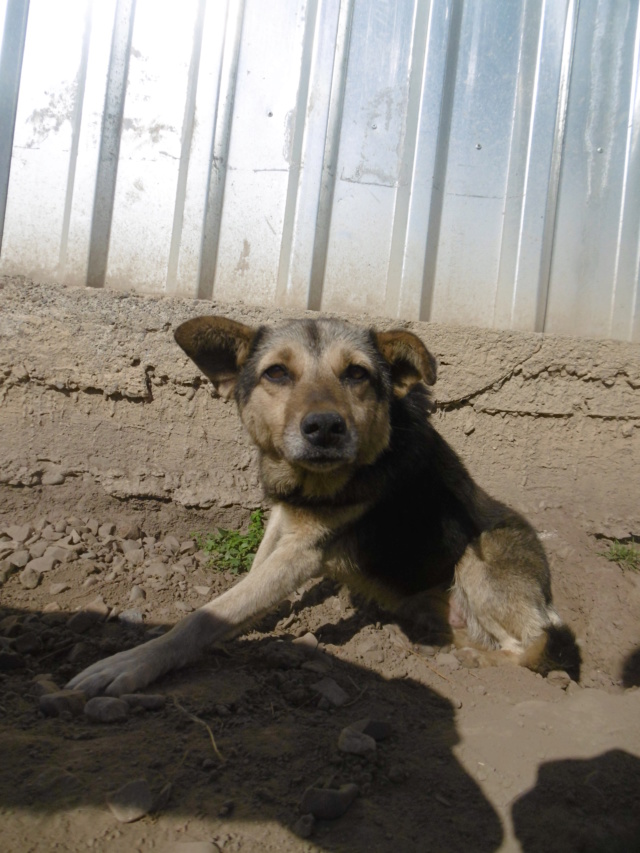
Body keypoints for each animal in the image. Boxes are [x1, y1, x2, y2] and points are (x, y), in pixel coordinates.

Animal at [67, 316, 584, 696]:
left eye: (356, 373)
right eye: (277, 372)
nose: (325, 428)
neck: (313, 483)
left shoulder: (306, 552)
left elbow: (206, 616)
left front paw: (132, 662)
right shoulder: (283, 521)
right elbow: (249, 580)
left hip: (482, 559)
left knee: (538, 645)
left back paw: (476, 655)